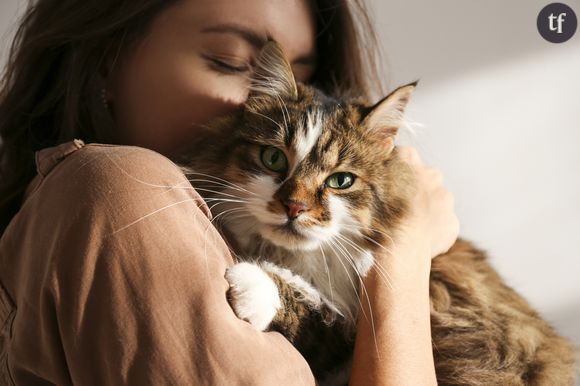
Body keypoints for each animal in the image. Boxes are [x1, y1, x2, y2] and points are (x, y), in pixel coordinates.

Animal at [179, 43, 576, 386]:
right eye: (273, 158)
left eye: (341, 181)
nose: (295, 207)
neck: (302, 260)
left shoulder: (350, 331)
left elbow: (312, 310)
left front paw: (253, 284)